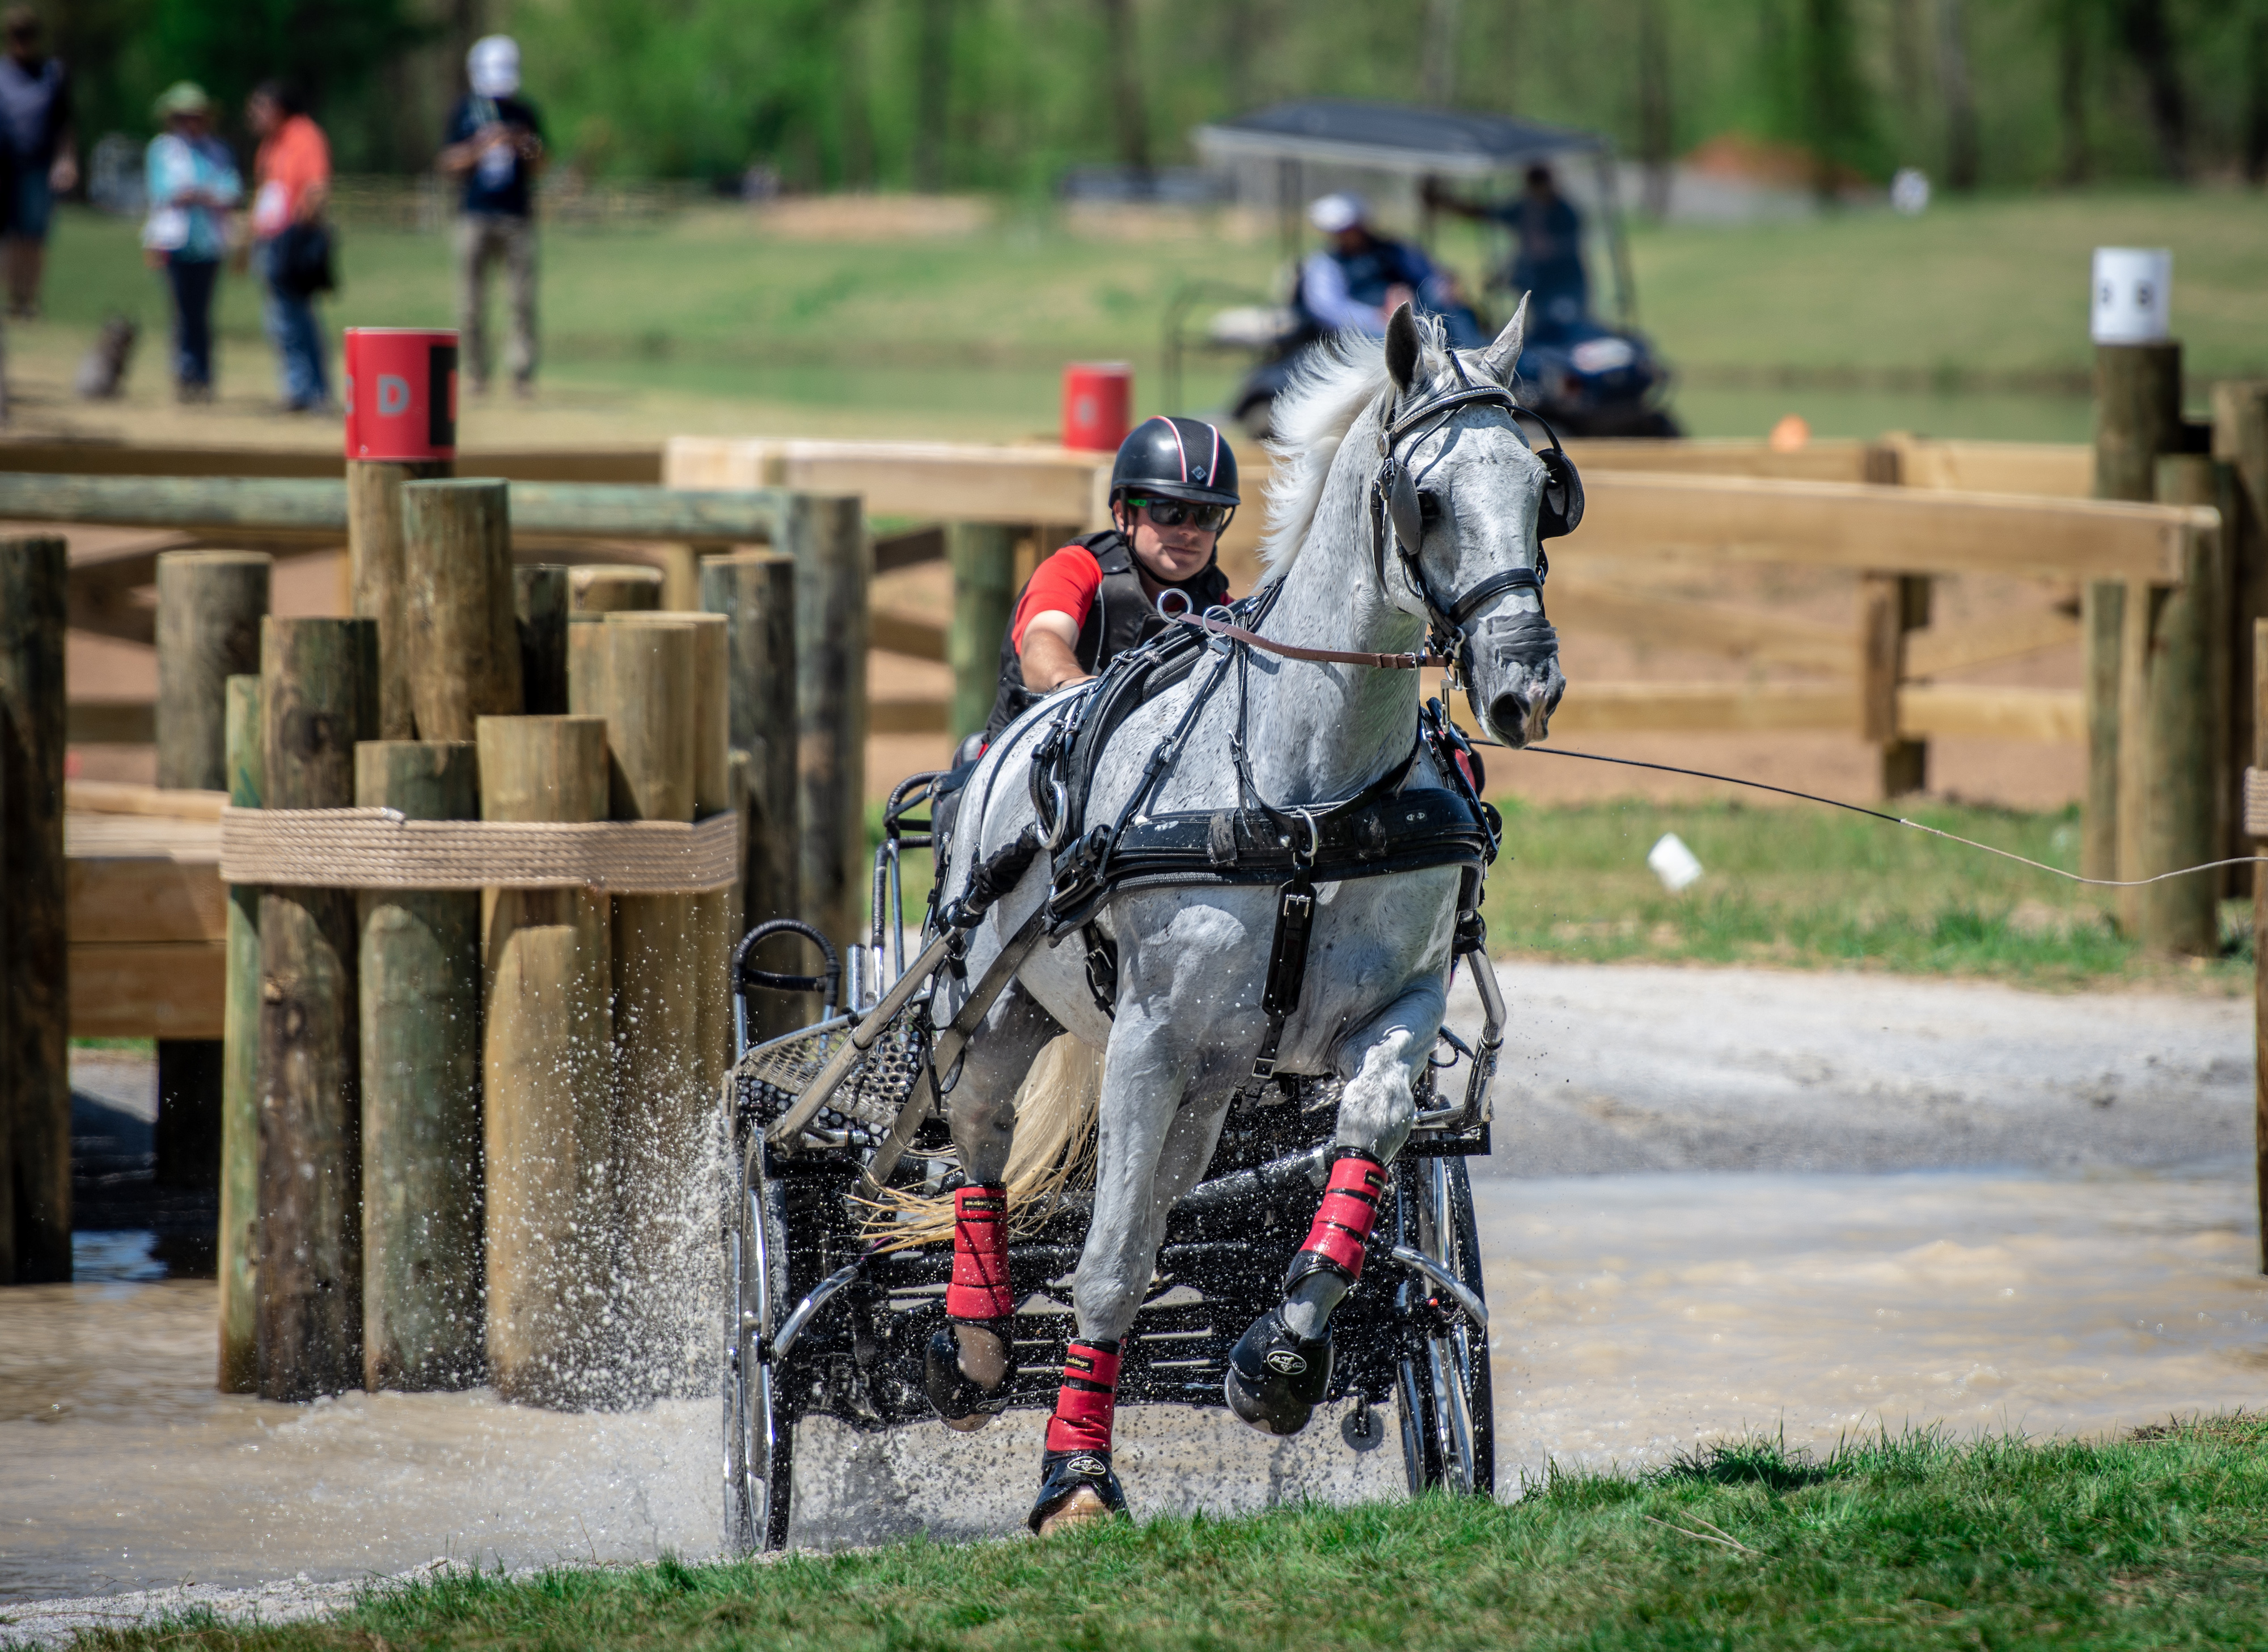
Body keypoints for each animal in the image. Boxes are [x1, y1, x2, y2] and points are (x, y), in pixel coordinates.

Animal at [921, 304, 1560, 1524]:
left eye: (1541, 486)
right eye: (1427, 497)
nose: (1525, 686)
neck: (1301, 788)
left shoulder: (1396, 1006)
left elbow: (1368, 1134)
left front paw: (1278, 1354)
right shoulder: (1147, 1037)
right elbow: (1113, 1259)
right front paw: (1076, 1473)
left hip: (1213, 1078)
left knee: (1172, 1178)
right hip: (1004, 1007)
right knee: (981, 1135)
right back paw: (973, 1339)